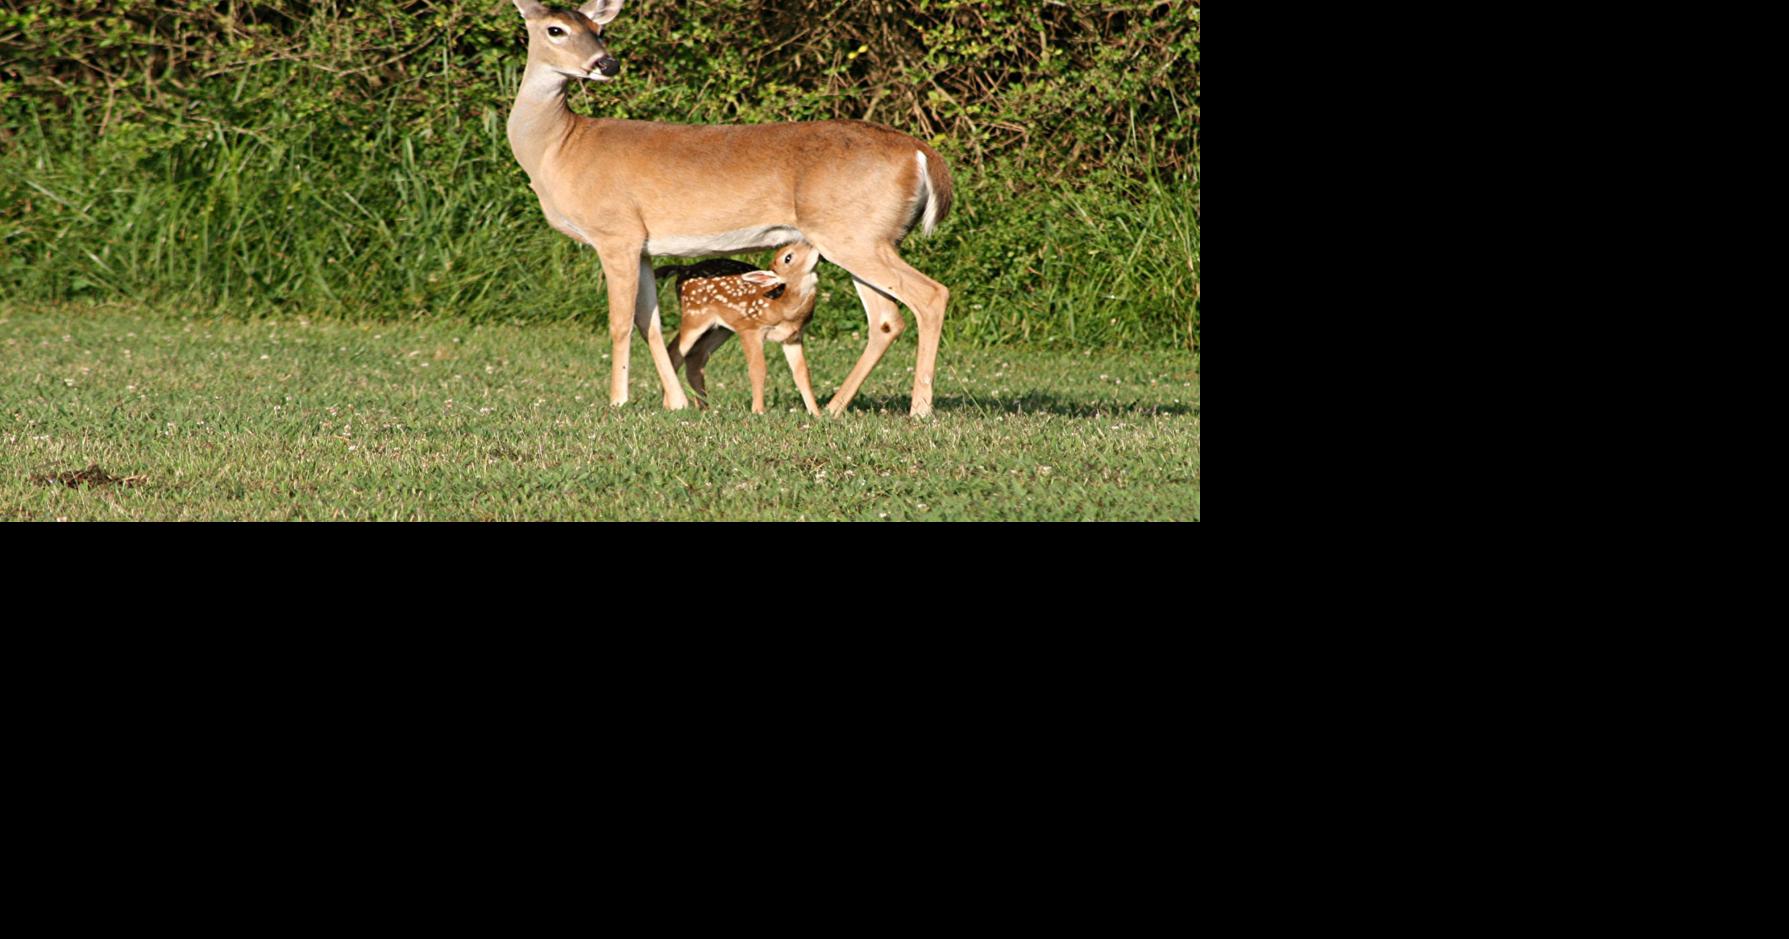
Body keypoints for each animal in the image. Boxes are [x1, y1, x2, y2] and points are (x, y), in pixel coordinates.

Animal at [657, 242, 824, 415]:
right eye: (788, 257)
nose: (812, 244)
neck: (782, 307)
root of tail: (683, 269)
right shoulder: (749, 328)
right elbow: (758, 369)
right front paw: (758, 411)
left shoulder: (792, 337)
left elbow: (802, 373)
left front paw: (816, 413)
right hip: (694, 316)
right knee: (673, 352)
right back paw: (670, 405)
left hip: (721, 329)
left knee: (695, 357)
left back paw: (704, 407)